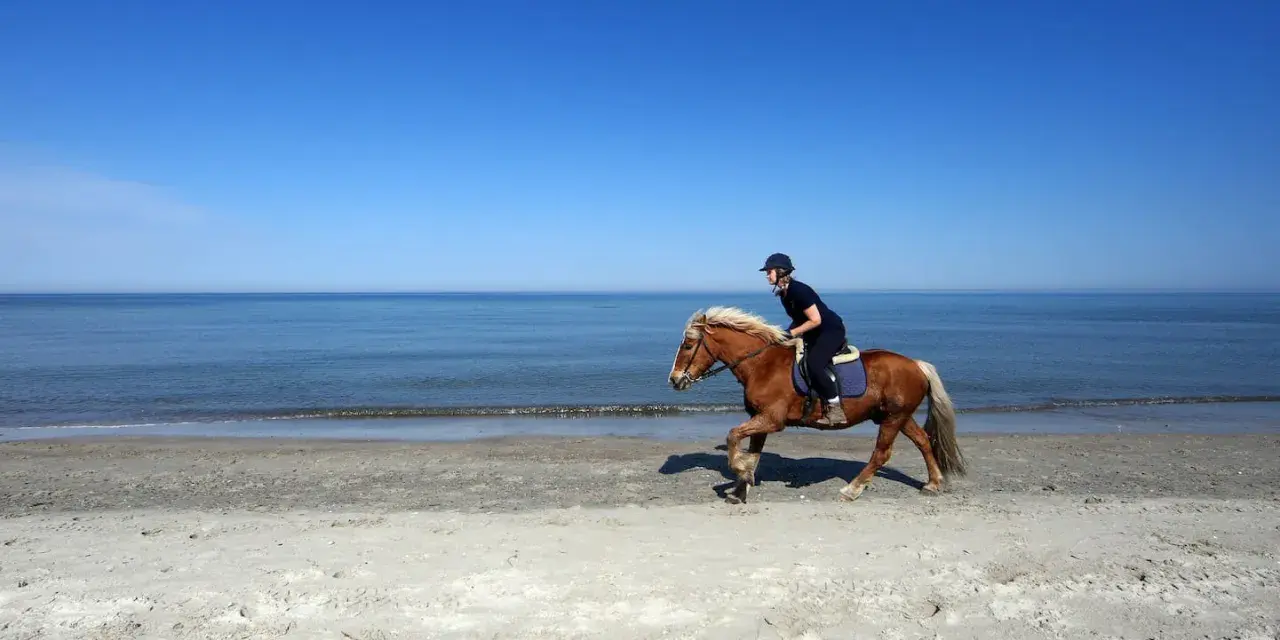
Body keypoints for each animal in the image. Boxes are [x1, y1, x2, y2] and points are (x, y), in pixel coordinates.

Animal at [667, 306, 966, 503]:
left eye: (688, 345)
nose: (674, 380)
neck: (761, 364)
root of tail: (917, 365)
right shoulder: (760, 419)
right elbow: (753, 454)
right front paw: (742, 487)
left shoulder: (772, 419)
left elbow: (733, 437)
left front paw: (739, 474)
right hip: (897, 416)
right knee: (923, 441)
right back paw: (933, 483)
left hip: (893, 419)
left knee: (882, 453)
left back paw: (852, 490)